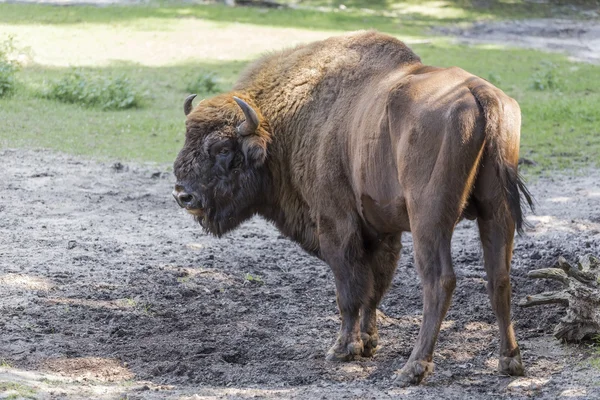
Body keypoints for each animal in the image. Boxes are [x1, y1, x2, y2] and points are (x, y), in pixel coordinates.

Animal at [173, 29, 536, 386]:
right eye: (187, 139)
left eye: (222, 148)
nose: (182, 194)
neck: (287, 122)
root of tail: (479, 93)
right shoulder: (382, 232)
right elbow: (373, 288)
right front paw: (369, 343)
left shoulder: (336, 223)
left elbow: (349, 289)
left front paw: (342, 349)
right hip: (496, 211)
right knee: (499, 277)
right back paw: (509, 361)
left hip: (429, 220)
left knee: (439, 281)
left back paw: (412, 369)